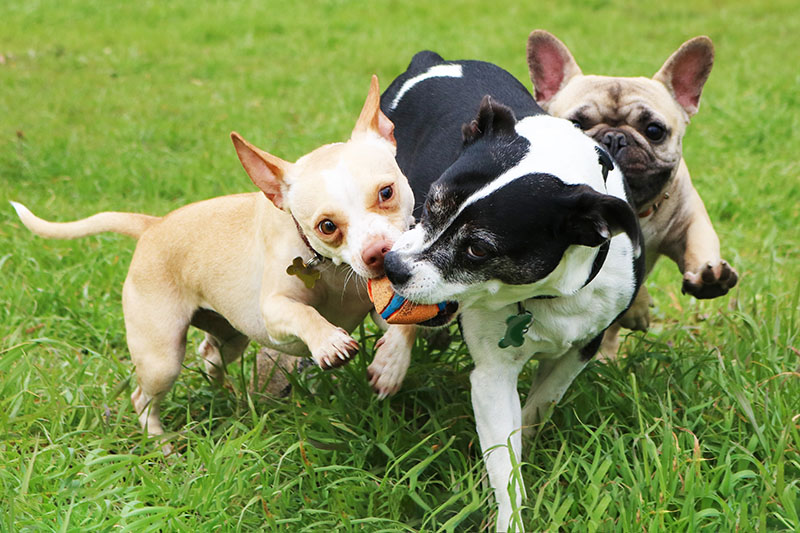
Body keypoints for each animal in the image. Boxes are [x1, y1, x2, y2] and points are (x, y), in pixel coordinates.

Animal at [380, 51, 644, 532]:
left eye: (479, 248)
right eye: (432, 206)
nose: (393, 267)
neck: (545, 294)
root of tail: (435, 60)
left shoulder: (583, 346)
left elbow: (540, 405)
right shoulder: (492, 376)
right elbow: (505, 462)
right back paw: (391, 362)